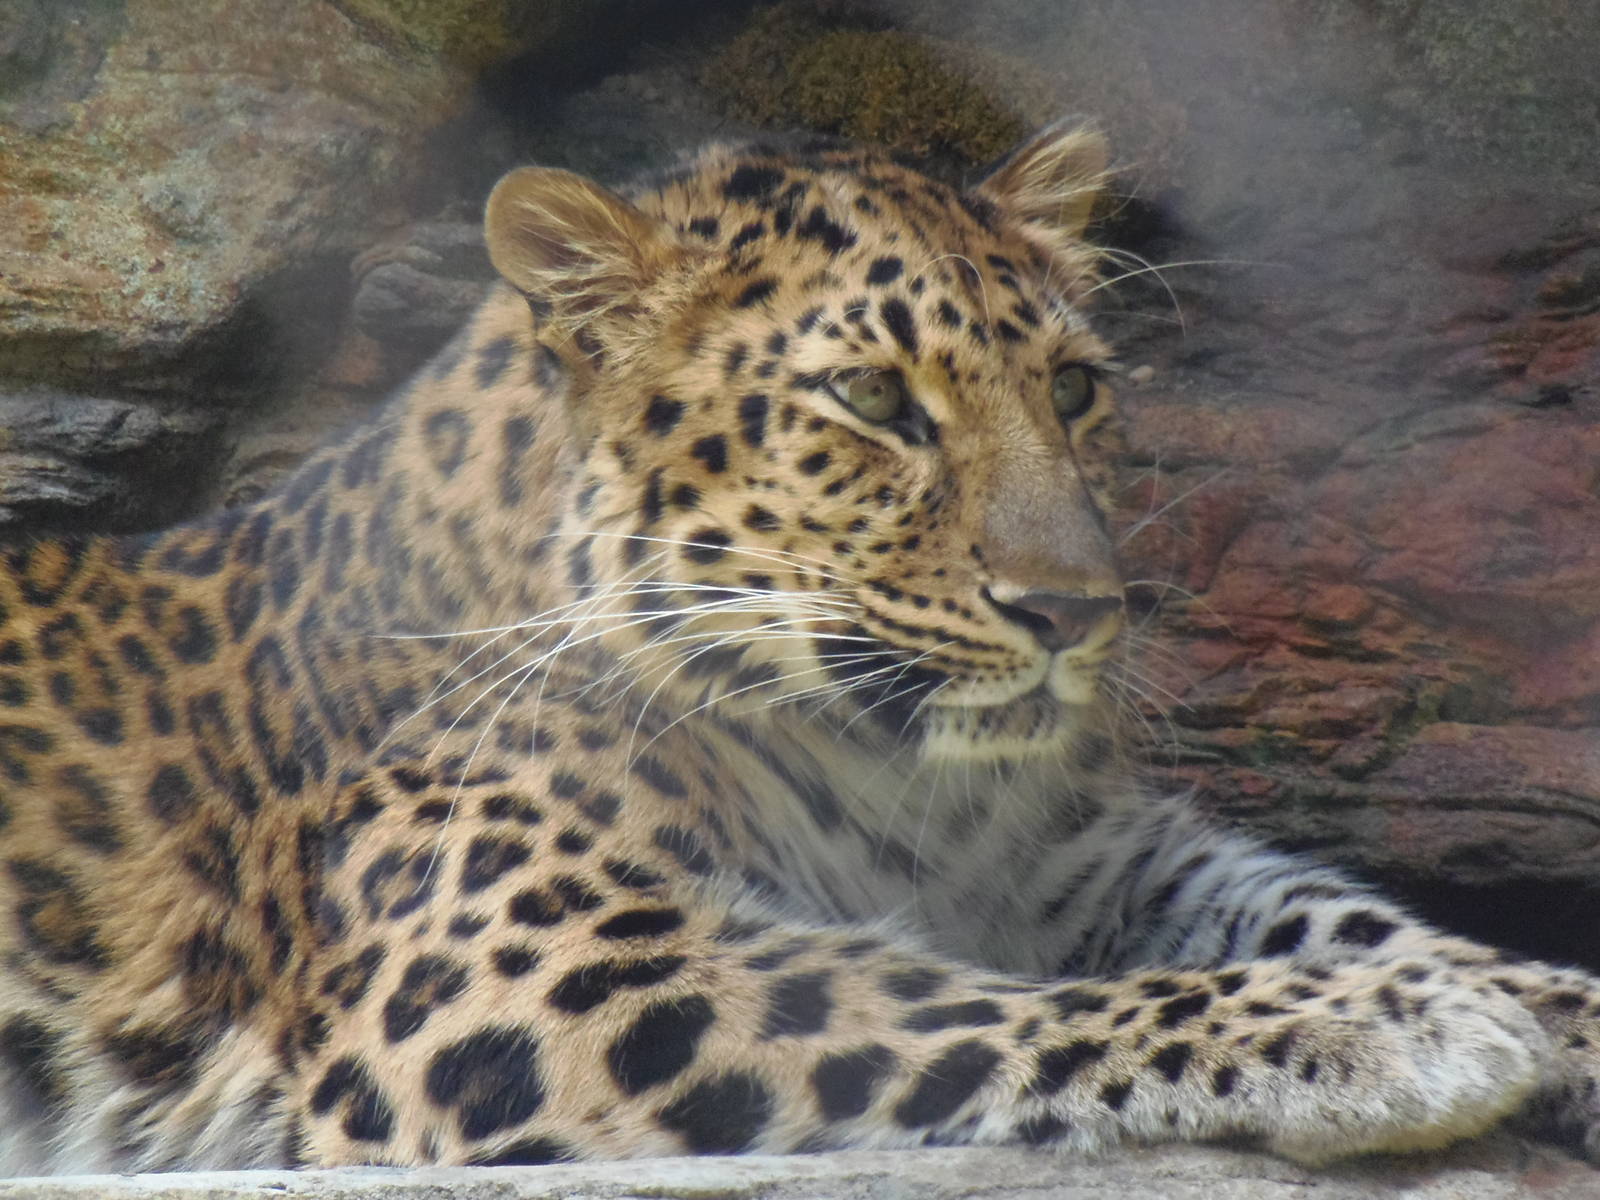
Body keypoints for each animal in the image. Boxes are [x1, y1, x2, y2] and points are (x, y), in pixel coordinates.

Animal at [0, 121, 1596, 1177]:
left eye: (1074, 389)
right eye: (875, 402)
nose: (1077, 613)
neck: (911, 785)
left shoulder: (1097, 864)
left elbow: (1325, 908)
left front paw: (1537, 1009)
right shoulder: (532, 978)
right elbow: (948, 999)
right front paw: (1390, 1030)